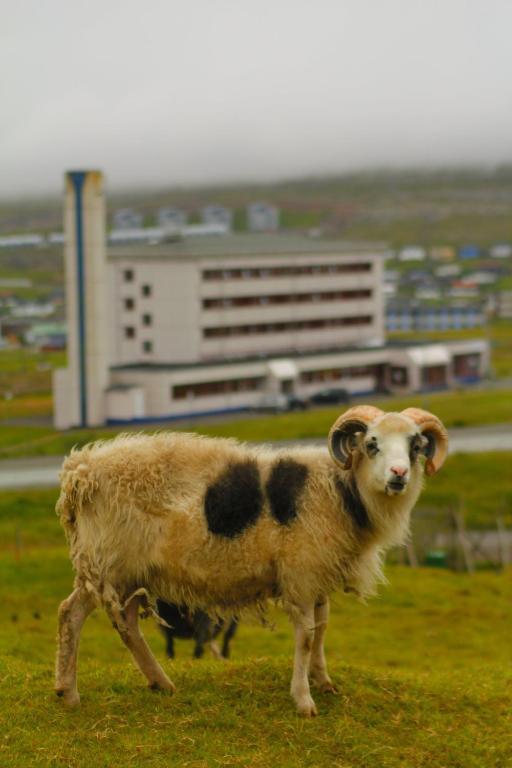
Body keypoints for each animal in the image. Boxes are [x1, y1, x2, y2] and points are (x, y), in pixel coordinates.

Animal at [56, 404, 446, 716]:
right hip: (107, 563)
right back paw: (68, 693)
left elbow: (321, 630)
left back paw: (159, 683)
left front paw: (324, 681)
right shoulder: (301, 576)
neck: (339, 490)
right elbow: (306, 637)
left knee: (127, 624)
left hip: (132, 572)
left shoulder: (318, 576)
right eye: (372, 444)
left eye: (415, 446)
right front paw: (303, 700)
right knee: (70, 614)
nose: (399, 475)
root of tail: (80, 470)